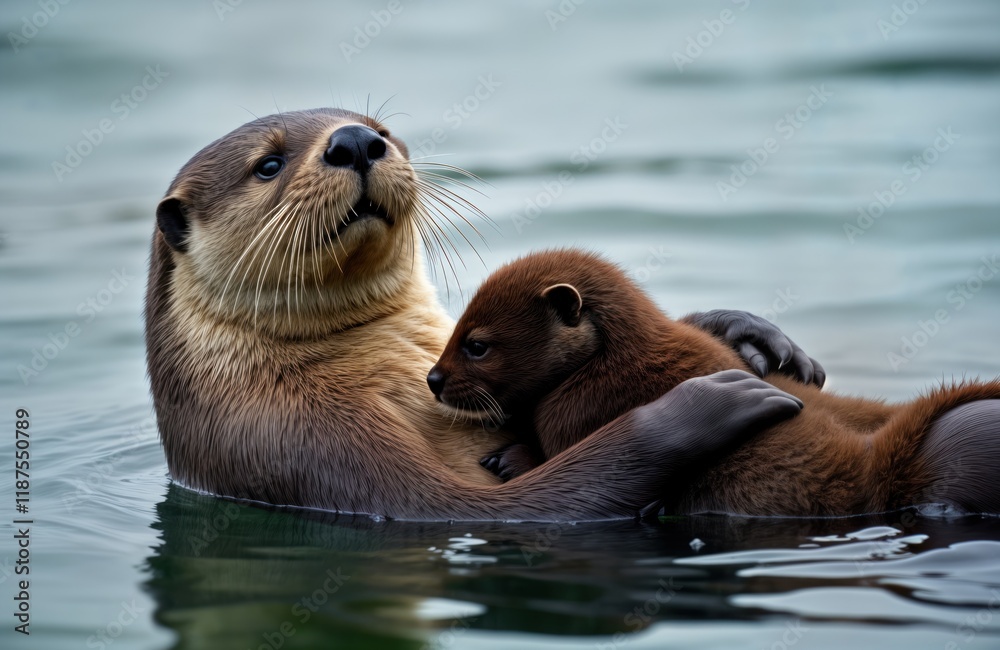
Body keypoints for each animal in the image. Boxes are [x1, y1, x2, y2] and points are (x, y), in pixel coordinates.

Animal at [146, 108, 819, 521]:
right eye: (268, 164)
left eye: (378, 127)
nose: (355, 141)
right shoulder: (302, 443)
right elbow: (500, 508)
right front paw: (710, 400)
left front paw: (752, 336)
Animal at [427, 249, 1000, 516]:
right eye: (455, 327)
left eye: (476, 343)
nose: (433, 377)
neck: (612, 365)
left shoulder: (576, 413)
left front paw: (513, 458)